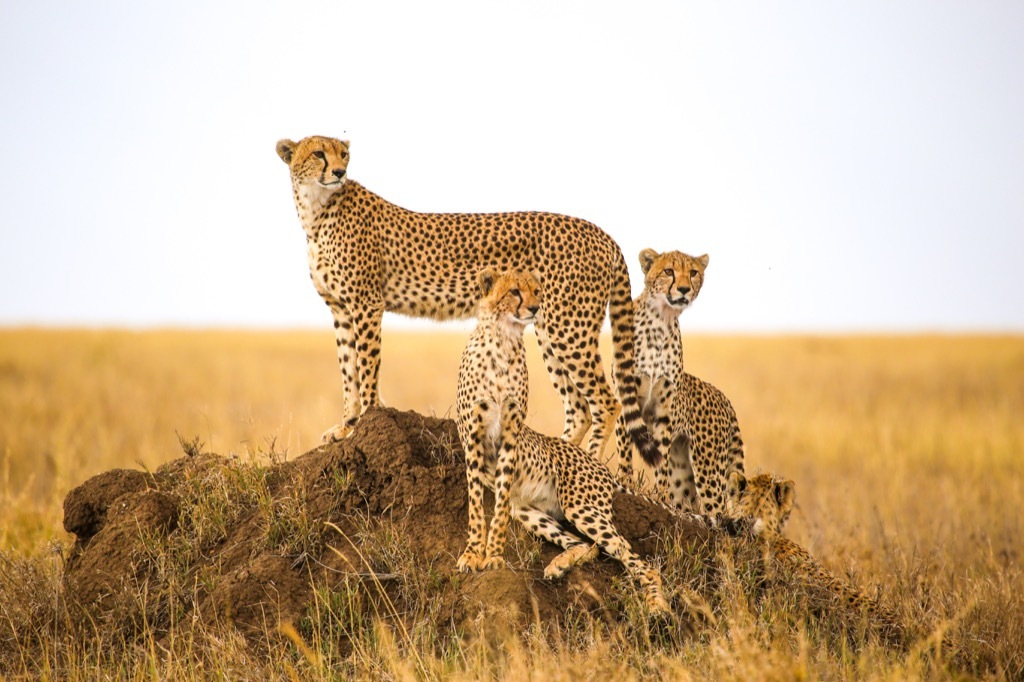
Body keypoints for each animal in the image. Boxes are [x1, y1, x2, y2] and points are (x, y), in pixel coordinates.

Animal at [275, 135, 658, 466]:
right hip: (548, 326)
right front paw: (346, 426)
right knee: (579, 408)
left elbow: (366, 367)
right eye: (319, 154)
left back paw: (587, 462)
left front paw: (365, 421)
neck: (316, 210)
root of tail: (602, 233)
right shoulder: (340, 308)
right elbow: (348, 371)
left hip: (568, 328)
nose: (340, 172)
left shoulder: (366, 303)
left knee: (607, 402)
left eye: (344, 154)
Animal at [454, 267, 675, 615]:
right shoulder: (474, 436)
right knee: (589, 545)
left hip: (581, 506)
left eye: (536, 291)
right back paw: (558, 565)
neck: (503, 339)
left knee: (637, 560)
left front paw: (494, 557)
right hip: (530, 511)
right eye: (514, 291)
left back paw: (657, 606)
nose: (535, 308)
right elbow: (477, 504)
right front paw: (473, 554)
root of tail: (598, 465)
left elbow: (498, 508)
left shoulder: (510, 435)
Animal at [615, 248, 744, 520]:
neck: (661, 320)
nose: (684, 289)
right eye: (668, 271)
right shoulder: (626, 397)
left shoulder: (664, 410)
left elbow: (660, 460)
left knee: (717, 510)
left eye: (693, 272)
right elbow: (625, 452)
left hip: (708, 467)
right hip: (687, 471)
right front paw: (625, 483)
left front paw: (660, 497)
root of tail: (724, 397)